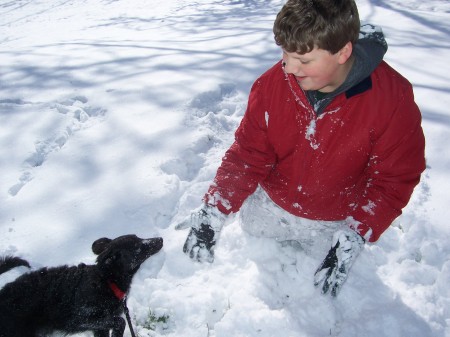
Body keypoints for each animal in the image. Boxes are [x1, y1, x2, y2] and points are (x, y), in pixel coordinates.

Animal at [0, 234, 163, 336]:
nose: (160, 239)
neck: (106, 281)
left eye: (139, 238)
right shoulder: (80, 320)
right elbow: (120, 321)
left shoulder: (101, 327)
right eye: (137, 246)